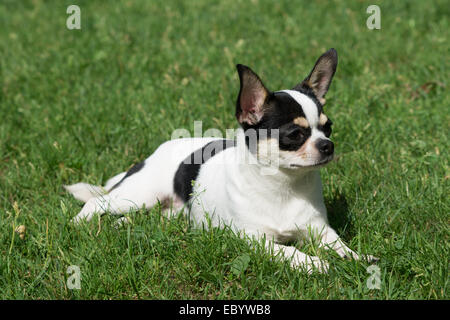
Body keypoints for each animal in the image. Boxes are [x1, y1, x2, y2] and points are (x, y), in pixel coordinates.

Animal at [65, 49, 376, 272]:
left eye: (328, 128)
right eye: (294, 134)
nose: (328, 146)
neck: (285, 186)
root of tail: (154, 153)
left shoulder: (321, 232)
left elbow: (340, 246)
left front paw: (357, 257)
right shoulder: (254, 238)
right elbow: (286, 250)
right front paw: (312, 262)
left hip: (166, 210)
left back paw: (122, 225)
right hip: (139, 195)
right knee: (97, 203)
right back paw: (78, 224)